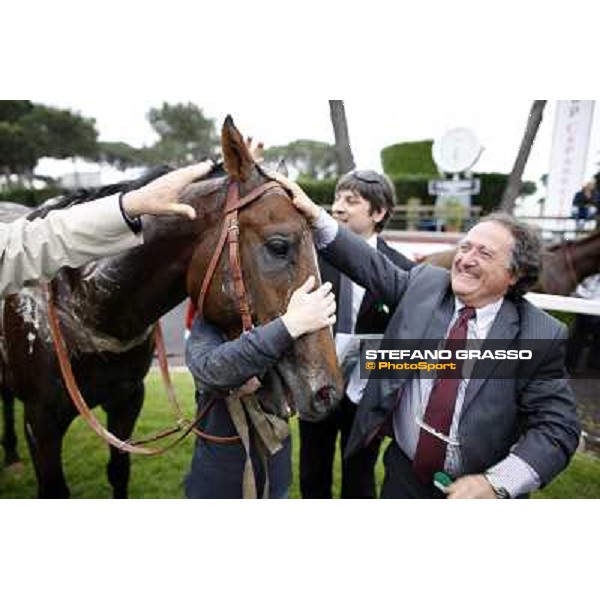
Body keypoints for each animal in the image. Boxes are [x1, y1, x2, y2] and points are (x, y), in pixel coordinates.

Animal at [0, 116, 342, 496]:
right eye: (279, 246)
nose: (328, 392)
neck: (86, 306)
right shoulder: (40, 420)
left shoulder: (127, 401)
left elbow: (118, 470)